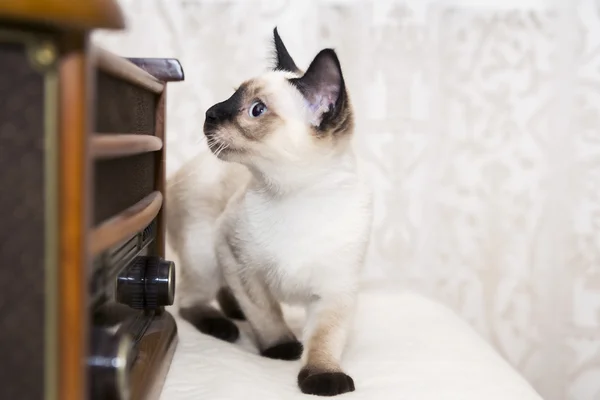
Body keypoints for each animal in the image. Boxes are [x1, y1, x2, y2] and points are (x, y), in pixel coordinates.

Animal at [164, 28, 370, 396]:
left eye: (256, 110)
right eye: (231, 97)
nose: (210, 113)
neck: (296, 198)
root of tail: (179, 170)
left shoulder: (336, 291)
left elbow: (324, 340)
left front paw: (324, 379)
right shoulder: (237, 261)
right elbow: (266, 315)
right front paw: (282, 348)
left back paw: (232, 312)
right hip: (204, 251)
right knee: (190, 299)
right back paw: (225, 325)